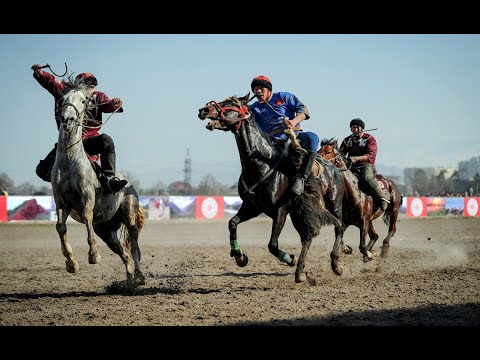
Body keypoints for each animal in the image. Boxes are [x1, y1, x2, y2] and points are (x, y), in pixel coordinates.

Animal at [51, 76, 144, 286]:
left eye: (83, 100)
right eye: (62, 100)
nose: (68, 120)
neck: (70, 160)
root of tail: (128, 183)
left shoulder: (87, 194)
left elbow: (86, 215)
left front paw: (93, 255)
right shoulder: (61, 200)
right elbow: (60, 227)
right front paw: (72, 263)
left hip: (129, 214)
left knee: (134, 246)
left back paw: (139, 276)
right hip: (106, 230)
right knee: (124, 252)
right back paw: (129, 281)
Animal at [197, 93, 346, 282]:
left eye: (231, 103)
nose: (204, 110)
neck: (262, 164)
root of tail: (336, 168)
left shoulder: (280, 211)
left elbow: (272, 245)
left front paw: (290, 258)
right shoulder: (252, 207)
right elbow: (232, 223)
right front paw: (240, 256)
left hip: (333, 204)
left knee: (339, 226)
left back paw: (335, 264)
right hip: (300, 212)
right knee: (308, 237)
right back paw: (301, 271)